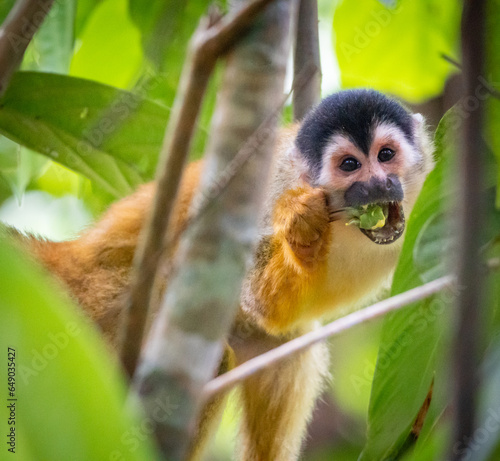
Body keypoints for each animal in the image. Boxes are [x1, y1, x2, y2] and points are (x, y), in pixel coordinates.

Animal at [20, 90, 434, 460]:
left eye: (385, 155)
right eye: (349, 165)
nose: (379, 183)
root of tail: (72, 259)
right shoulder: (271, 194)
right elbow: (259, 299)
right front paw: (303, 229)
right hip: (100, 310)